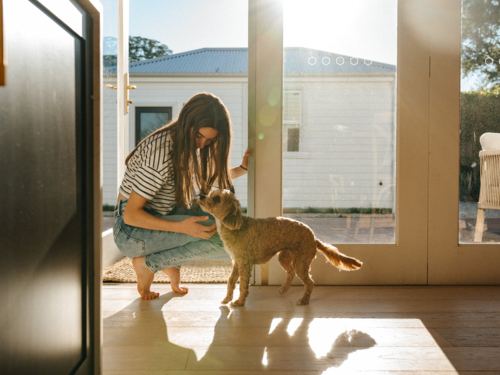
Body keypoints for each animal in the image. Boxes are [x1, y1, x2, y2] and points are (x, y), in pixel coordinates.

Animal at [196, 189, 364, 306]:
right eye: (210, 193)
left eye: (216, 198)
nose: (201, 195)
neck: (236, 226)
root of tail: (314, 238)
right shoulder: (236, 262)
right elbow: (231, 281)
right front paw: (226, 299)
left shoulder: (245, 264)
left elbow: (243, 285)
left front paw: (239, 302)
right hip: (284, 257)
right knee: (290, 273)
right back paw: (284, 289)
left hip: (301, 263)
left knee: (309, 282)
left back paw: (304, 300)